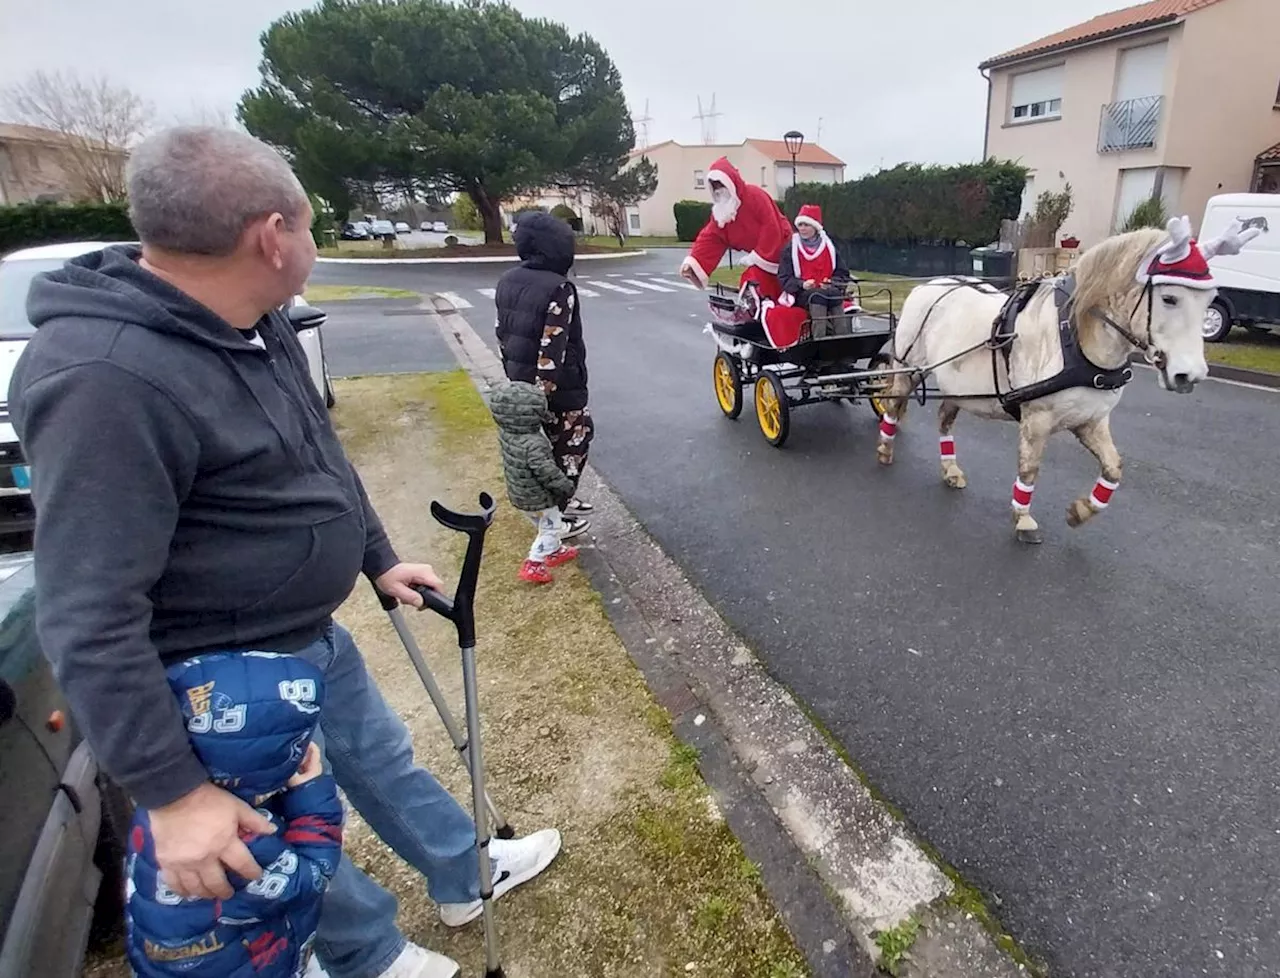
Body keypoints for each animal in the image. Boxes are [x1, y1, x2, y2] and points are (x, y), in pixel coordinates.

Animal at [875, 216, 1254, 542]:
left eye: (1210, 300)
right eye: (1169, 298)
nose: (1190, 375)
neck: (1074, 339)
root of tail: (930, 285)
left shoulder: (1091, 421)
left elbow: (1114, 468)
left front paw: (1081, 511)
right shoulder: (1037, 420)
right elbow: (1029, 470)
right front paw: (1023, 518)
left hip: (957, 385)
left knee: (944, 419)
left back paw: (950, 468)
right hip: (908, 369)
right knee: (893, 405)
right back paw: (885, 448)